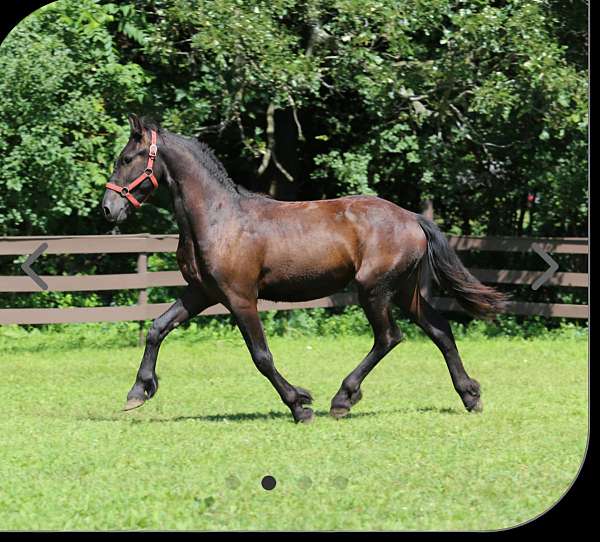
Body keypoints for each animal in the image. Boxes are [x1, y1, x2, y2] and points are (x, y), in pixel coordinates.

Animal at [101, 115, 504, 424]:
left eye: (127, 158)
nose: (108, 209)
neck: (218, 219)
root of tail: (413, 218)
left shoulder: (240, 298)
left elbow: (261, 356)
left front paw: (300, 405)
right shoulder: (201, 293)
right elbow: (157, 328)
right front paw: (137, 392)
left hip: (374, 290)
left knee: (389, 337)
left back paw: (342, 399)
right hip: (404, 291)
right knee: (439, 330)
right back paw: (470, 396)